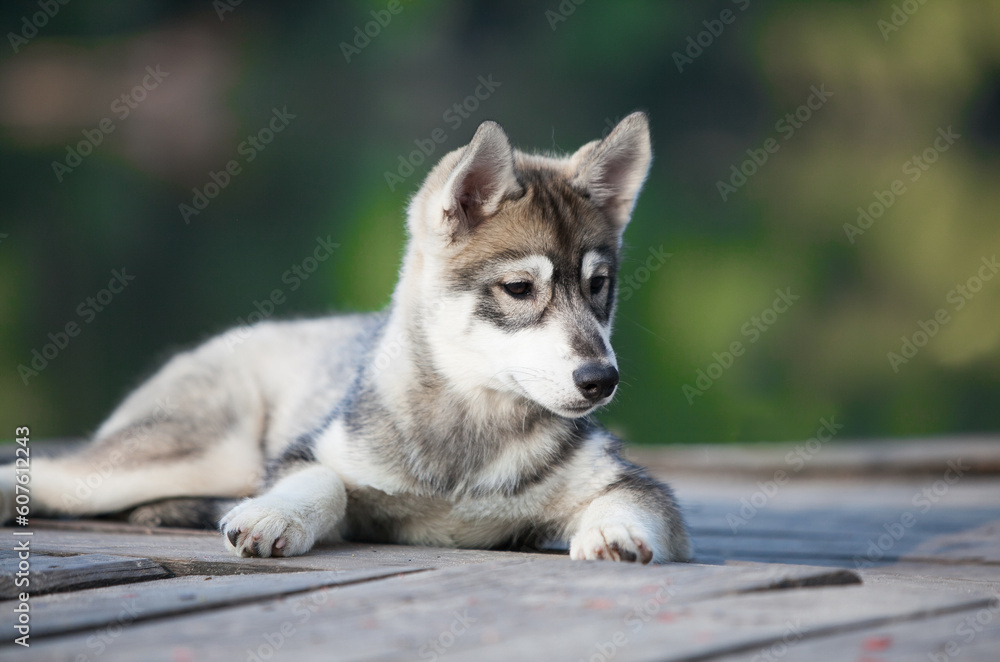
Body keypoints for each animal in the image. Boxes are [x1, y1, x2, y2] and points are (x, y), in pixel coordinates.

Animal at [1, 114, 688, 564]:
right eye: (520, 288)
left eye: (598, 287)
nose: (601, 380)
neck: (468, 429)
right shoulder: (304, 454)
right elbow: (322, 481)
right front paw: (275, 514)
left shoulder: (632, 485)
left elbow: (630, 504)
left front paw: (617, 535)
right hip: (207, 447)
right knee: (51, 474)